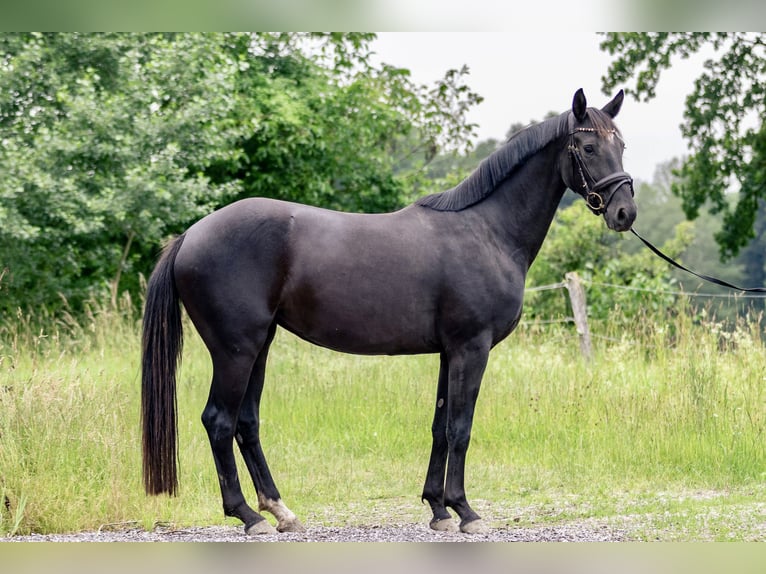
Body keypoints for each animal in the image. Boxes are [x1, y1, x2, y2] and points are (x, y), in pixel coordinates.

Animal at [141, 88, 640, 536]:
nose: (625, 213)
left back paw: (281, 512)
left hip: (259, 346)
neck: (487, 230)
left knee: (246, 423)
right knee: (219, 421)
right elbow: (460, 428)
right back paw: (248, 516)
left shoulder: (449, 353)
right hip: (235, 350)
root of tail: (190, 235)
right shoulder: (471, 348)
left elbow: (440, 426)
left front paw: (438, 509)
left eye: (621, 146)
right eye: (589, 147)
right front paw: (466, 511)